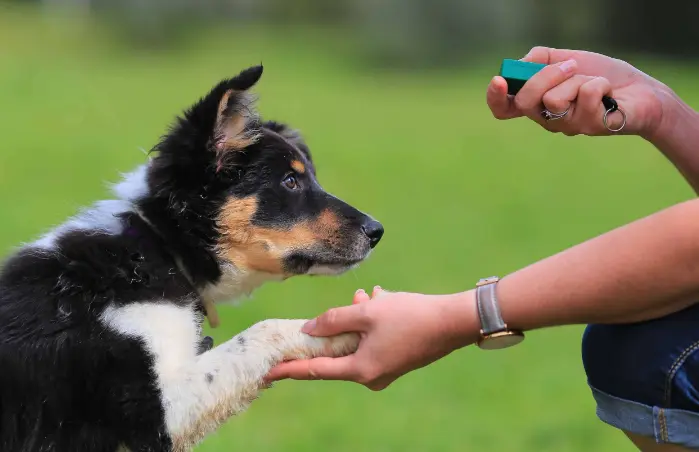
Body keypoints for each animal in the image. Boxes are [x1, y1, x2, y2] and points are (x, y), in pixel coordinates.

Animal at [0, 66, 386, 452]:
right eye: (291, 181)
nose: (377, 231)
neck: (156, 248)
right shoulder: (153, 414)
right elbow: (264, 330)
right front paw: (343, 330)